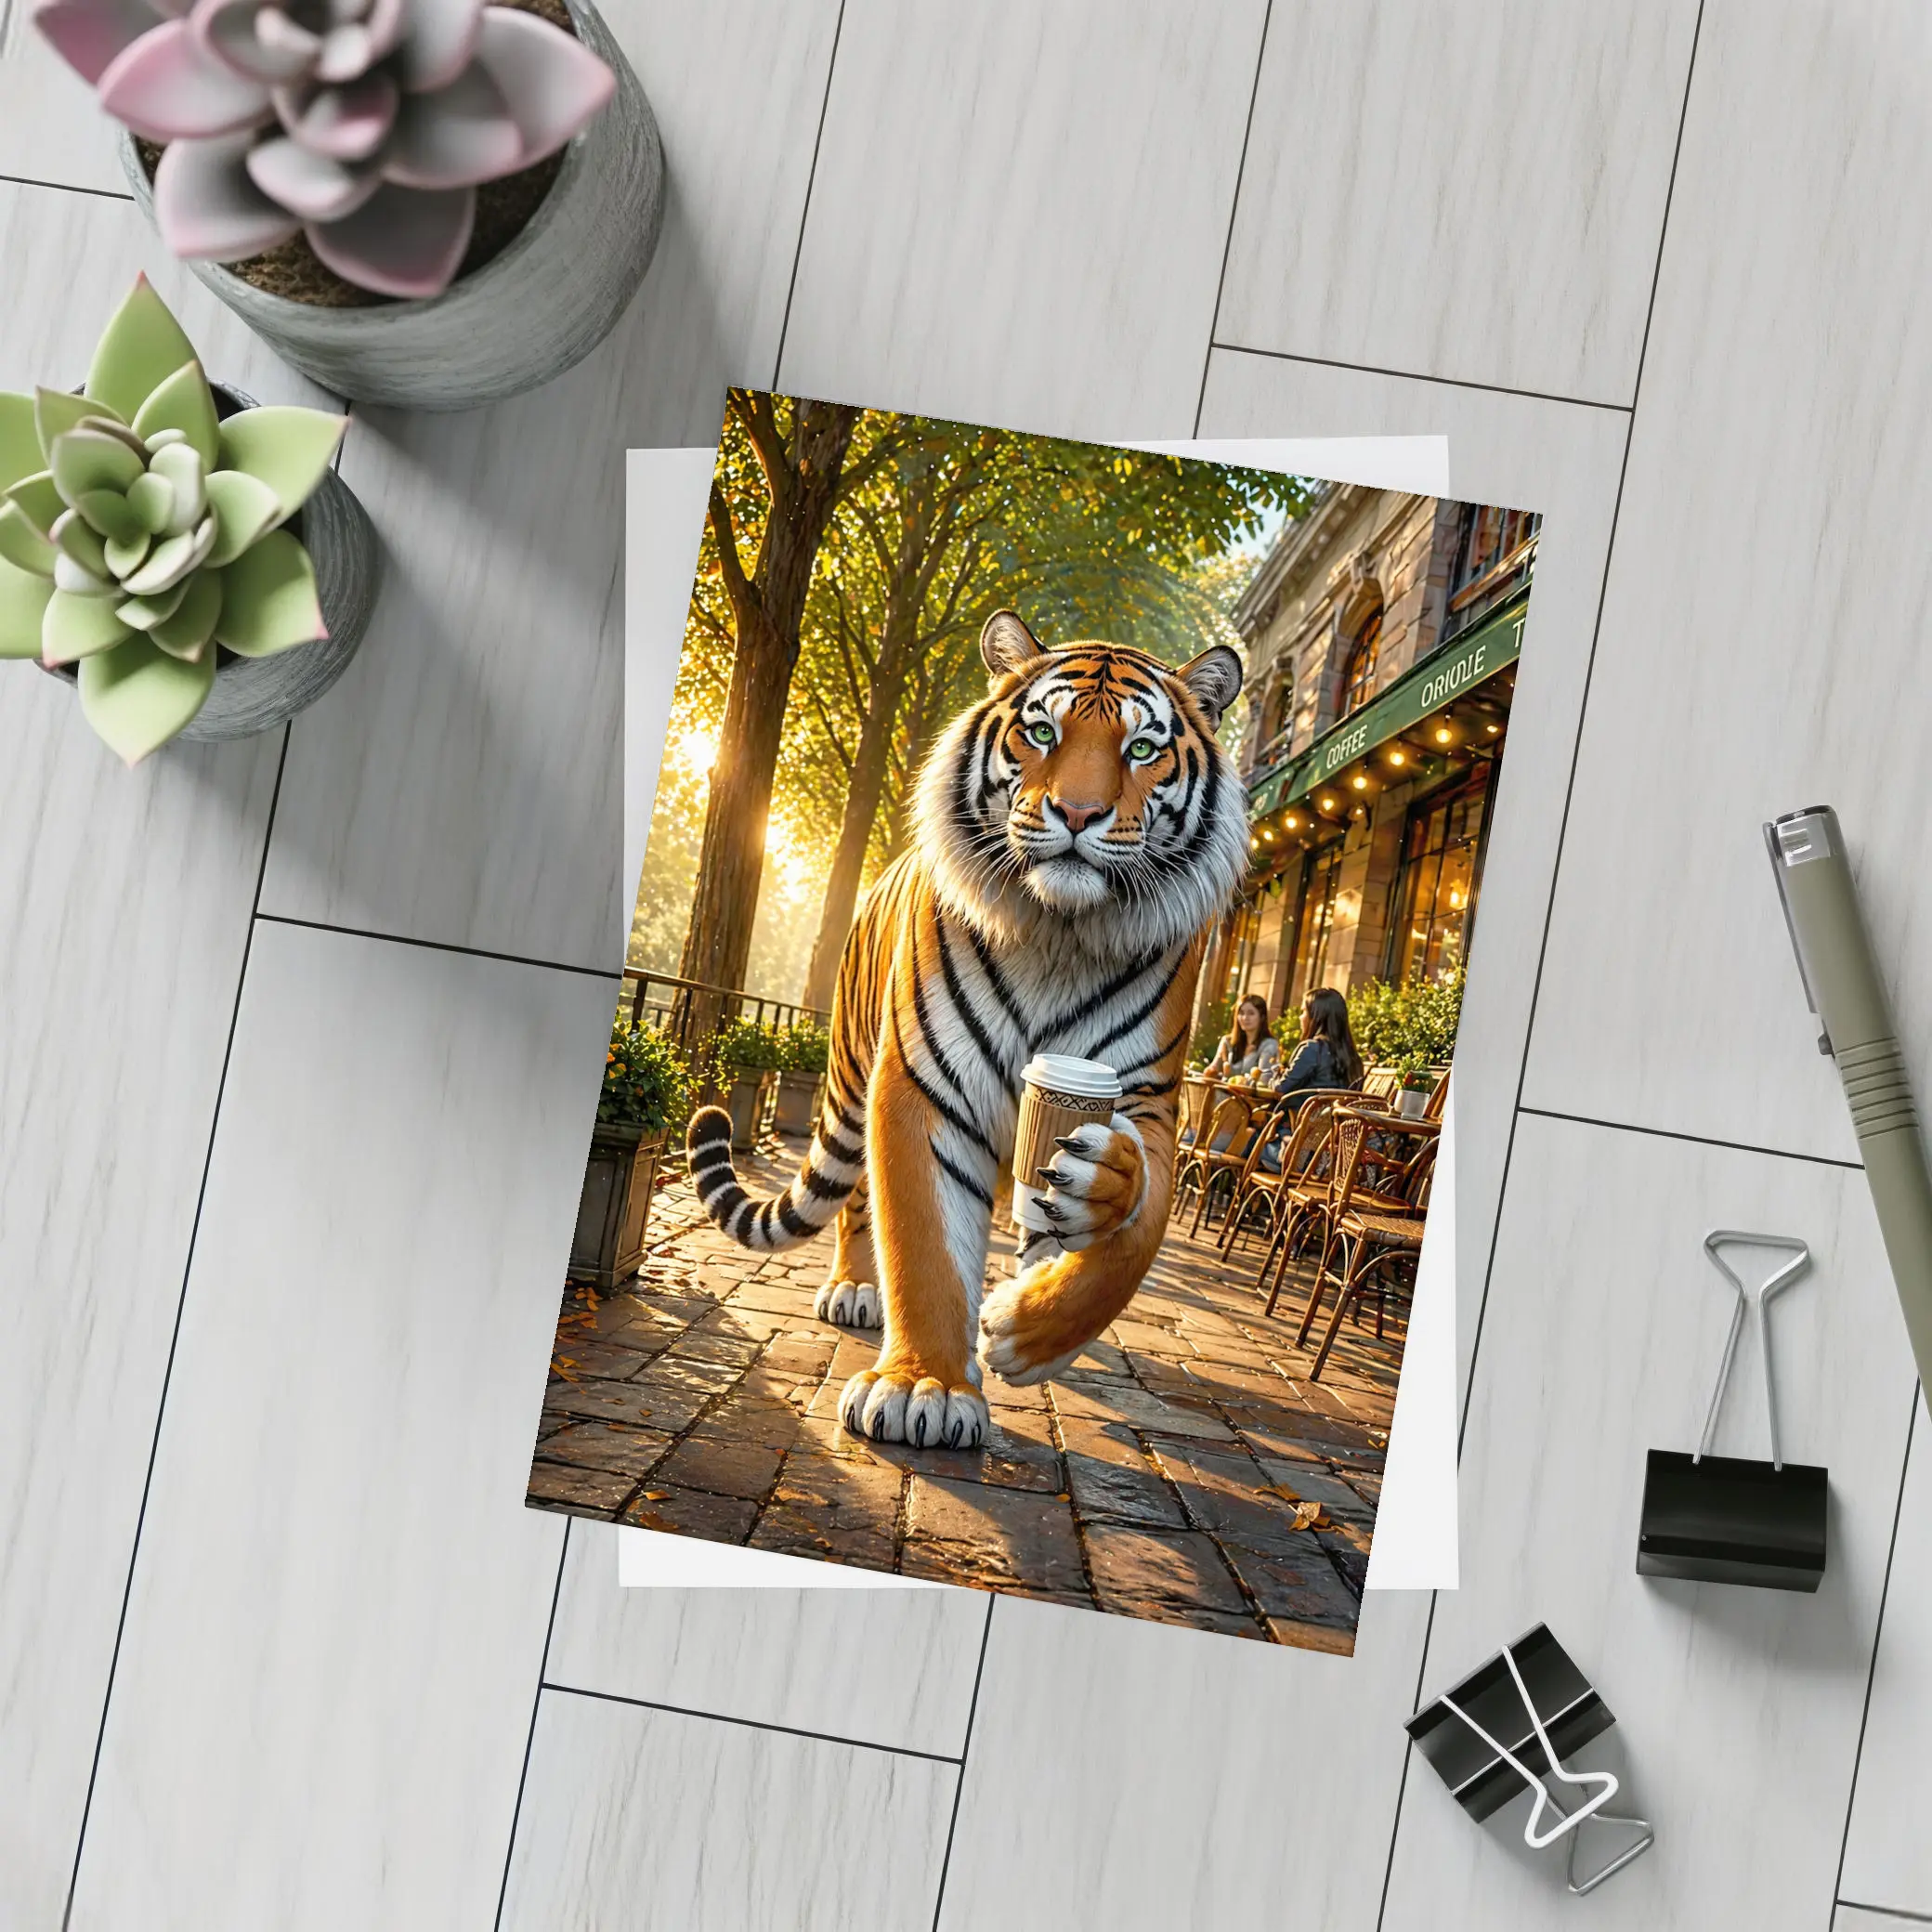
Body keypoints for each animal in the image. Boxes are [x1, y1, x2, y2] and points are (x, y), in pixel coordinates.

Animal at [685, 608, 1249, 1449]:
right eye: (1043, 732)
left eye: (1142, 750)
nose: (1078, 814)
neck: (1060, 932)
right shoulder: (926, 1082)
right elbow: (924, 1242)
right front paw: (924, 1387)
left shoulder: (1147, 1100)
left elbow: (1133, 1240)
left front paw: (1027, 1330)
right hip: (851, 1076)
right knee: (856, 1194)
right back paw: (856, 1289)